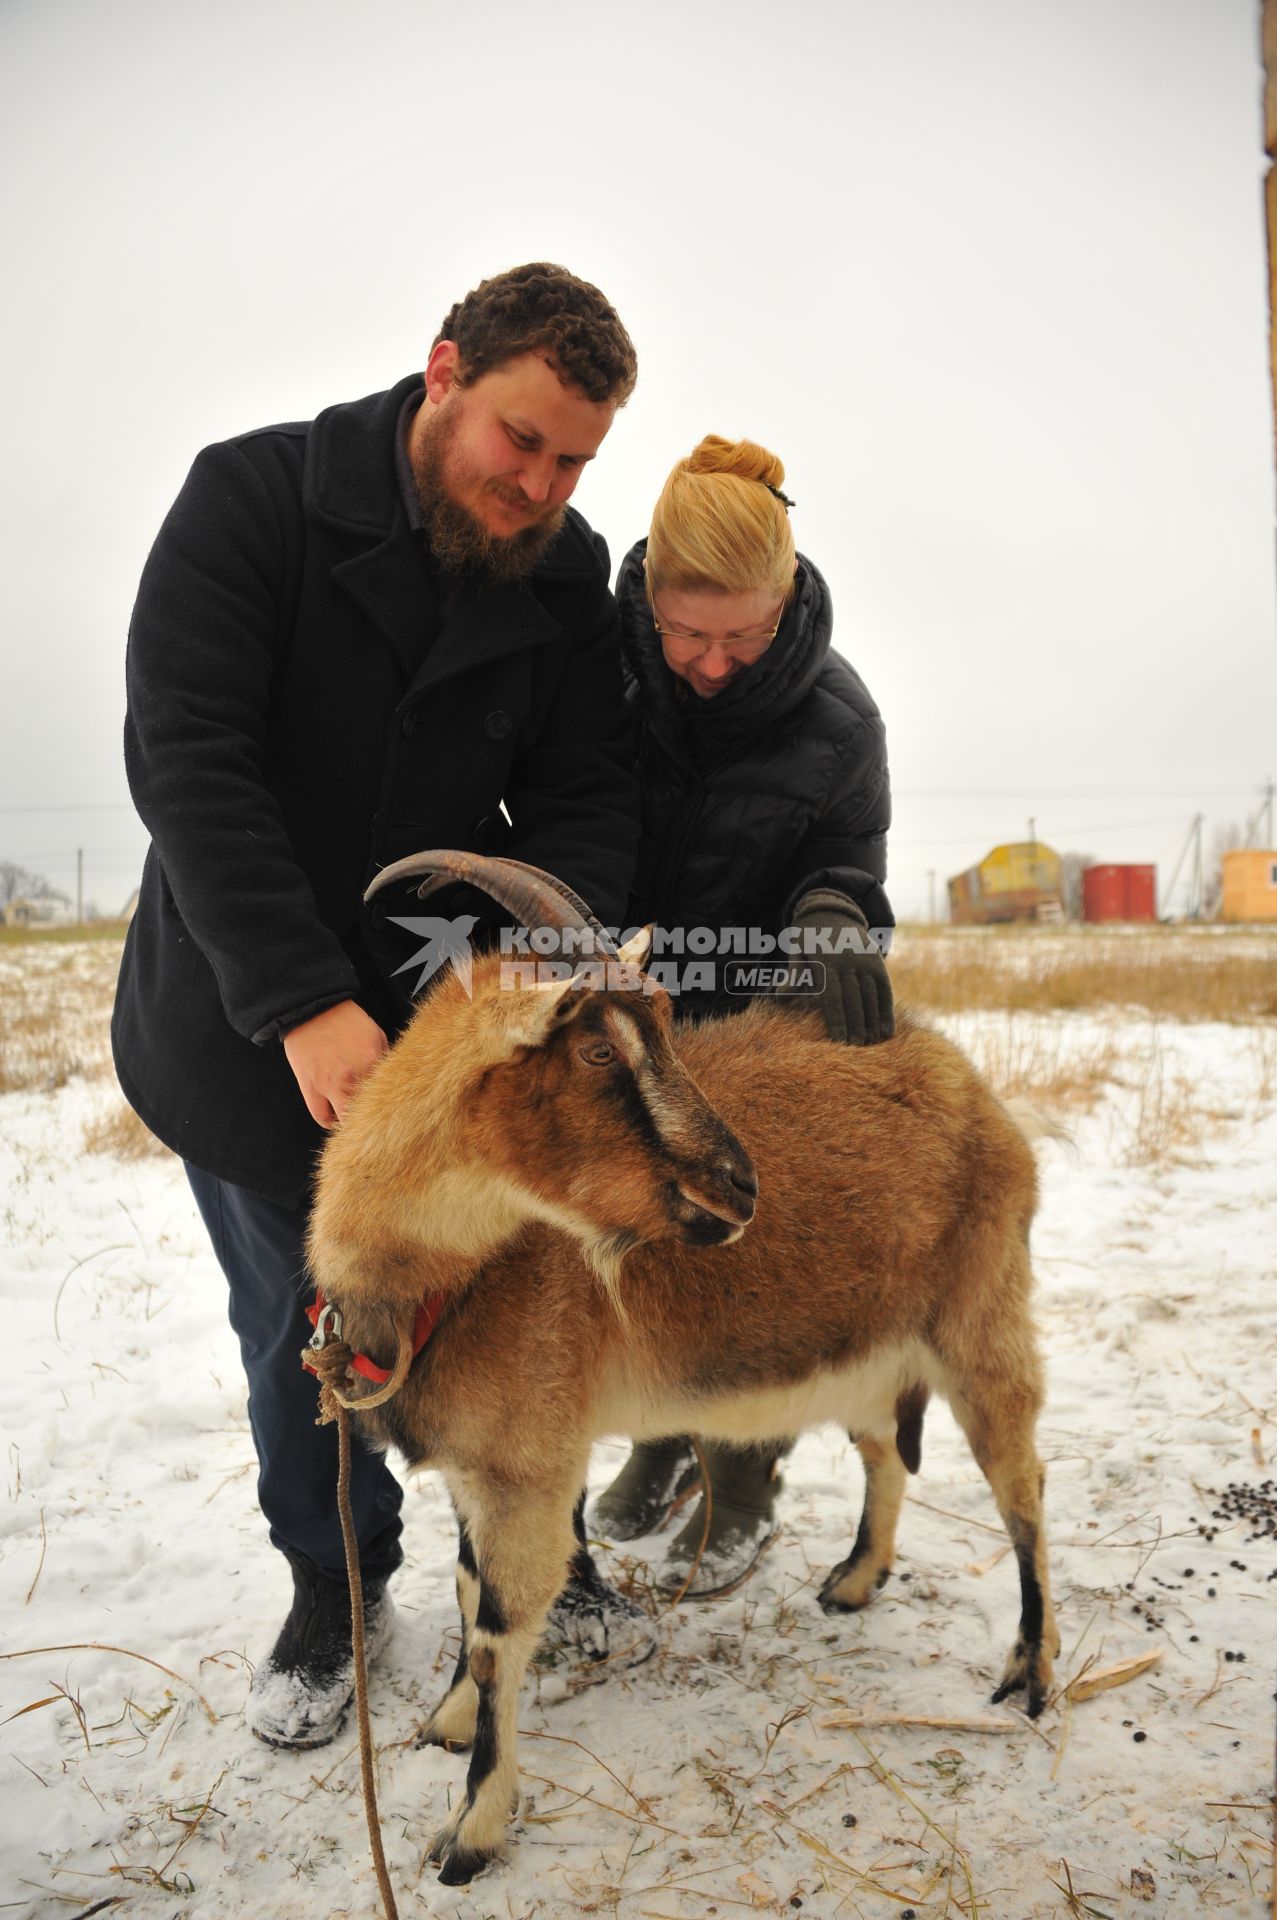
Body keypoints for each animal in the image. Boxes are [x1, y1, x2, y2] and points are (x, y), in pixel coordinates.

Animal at [309, 860, 1052, 1889]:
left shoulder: (528, 1459)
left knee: (1022, 1488)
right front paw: (446, 1724)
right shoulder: (480, 1461)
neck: (448, 1277)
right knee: (883, 1456)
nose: (739, 1188)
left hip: (981, 1320)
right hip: (867, 1349)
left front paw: (471, 1833)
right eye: (595, 1051)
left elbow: (499, 1627)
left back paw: (1028, 1677)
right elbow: (463, 1587)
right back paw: (854, 1581)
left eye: (663, 1023)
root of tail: (975, 1092)